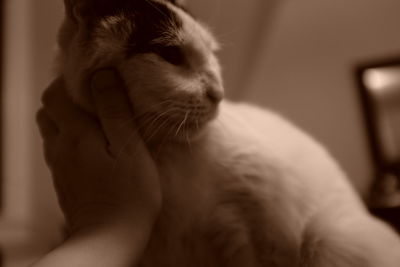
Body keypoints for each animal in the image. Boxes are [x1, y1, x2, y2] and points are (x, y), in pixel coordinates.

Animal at [55, 0, 400, 266]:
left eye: (212, 54)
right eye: (171, 55)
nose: (218, 93)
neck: (169, 164)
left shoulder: (249, 232)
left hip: (329, 240)